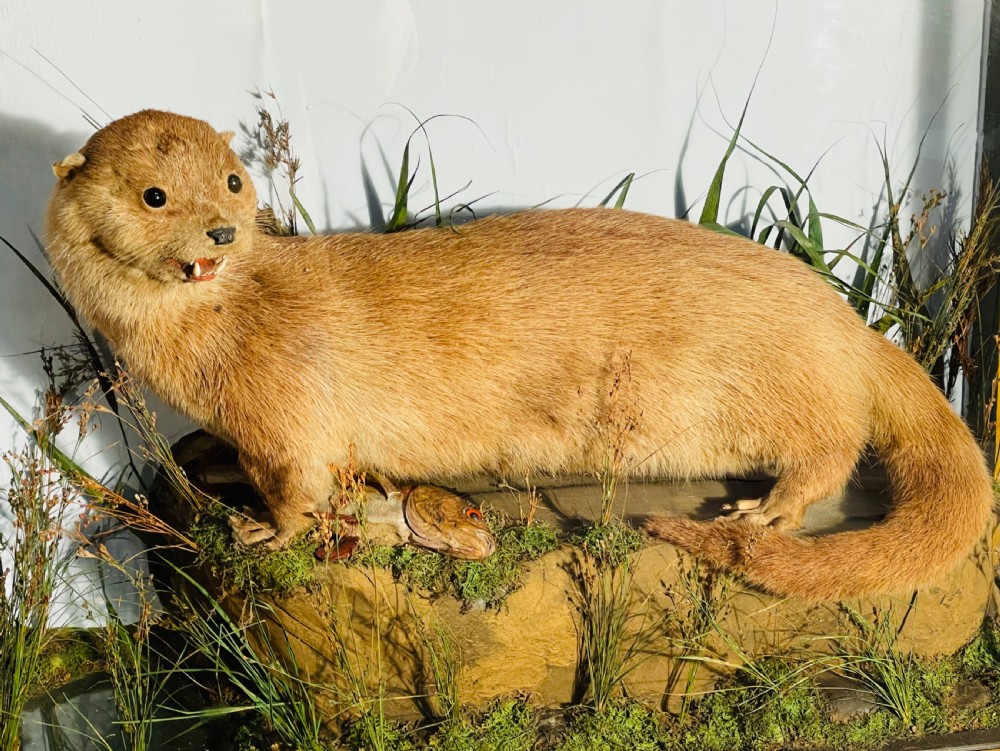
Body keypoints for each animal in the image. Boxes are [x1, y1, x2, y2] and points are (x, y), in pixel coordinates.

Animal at [45, 109, 994, 600]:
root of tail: (847, 320)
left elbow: (296, 486)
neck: (226, 324)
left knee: (832, 448)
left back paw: (766, 509)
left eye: (234, 181)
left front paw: (259, 529)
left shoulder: (284, 411)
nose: (219, 231)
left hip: (785, 383)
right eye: (155, 195)